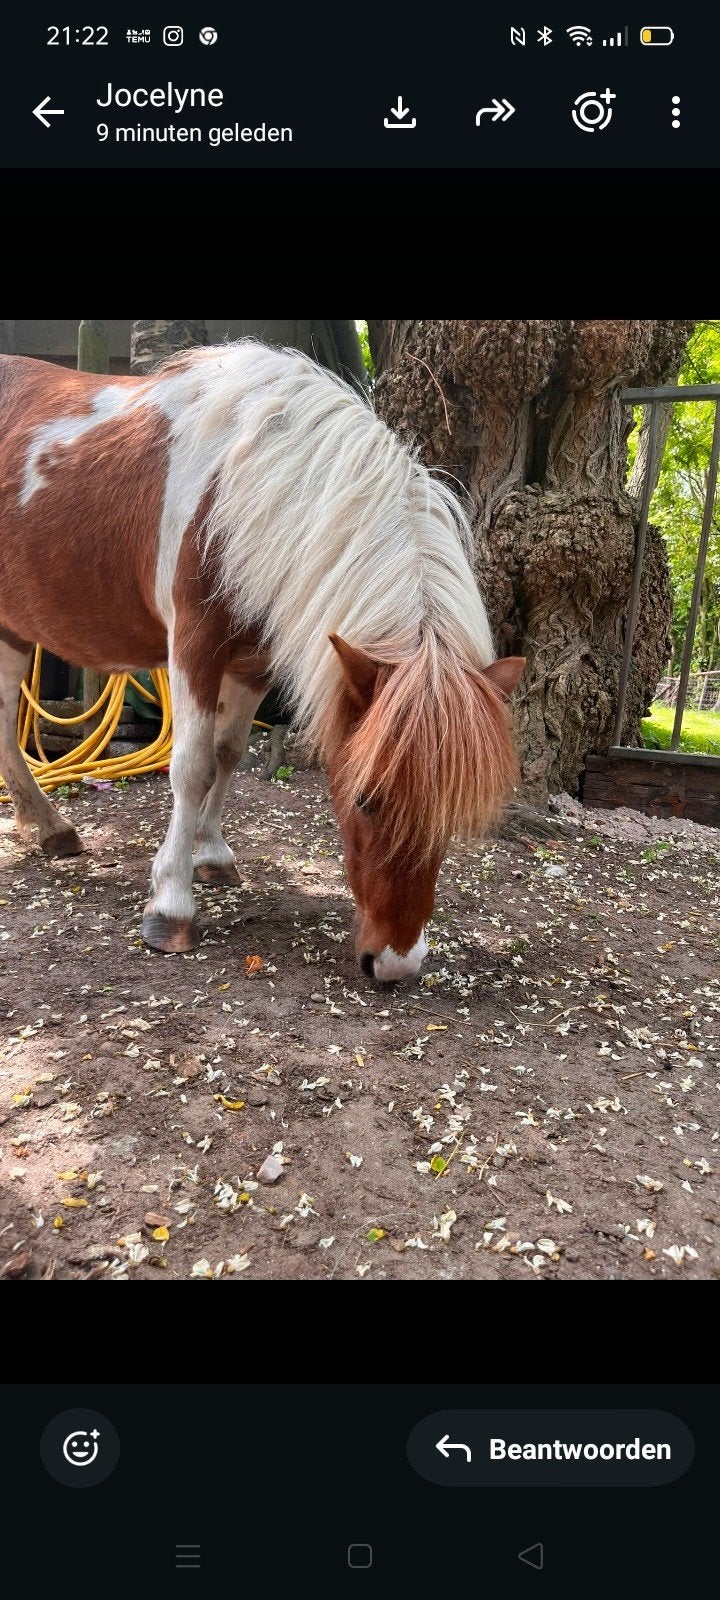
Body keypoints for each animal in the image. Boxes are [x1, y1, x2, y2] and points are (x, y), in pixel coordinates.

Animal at [0, 341, 524, 981]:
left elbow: (227, 754)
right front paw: (171, 906)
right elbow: (192, 765)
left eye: (449, 816)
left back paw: (47, 827)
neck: (242, 488)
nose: (395, 965)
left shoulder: (253, 662)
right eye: (366, 800)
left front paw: (212, 855)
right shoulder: (192, 648)